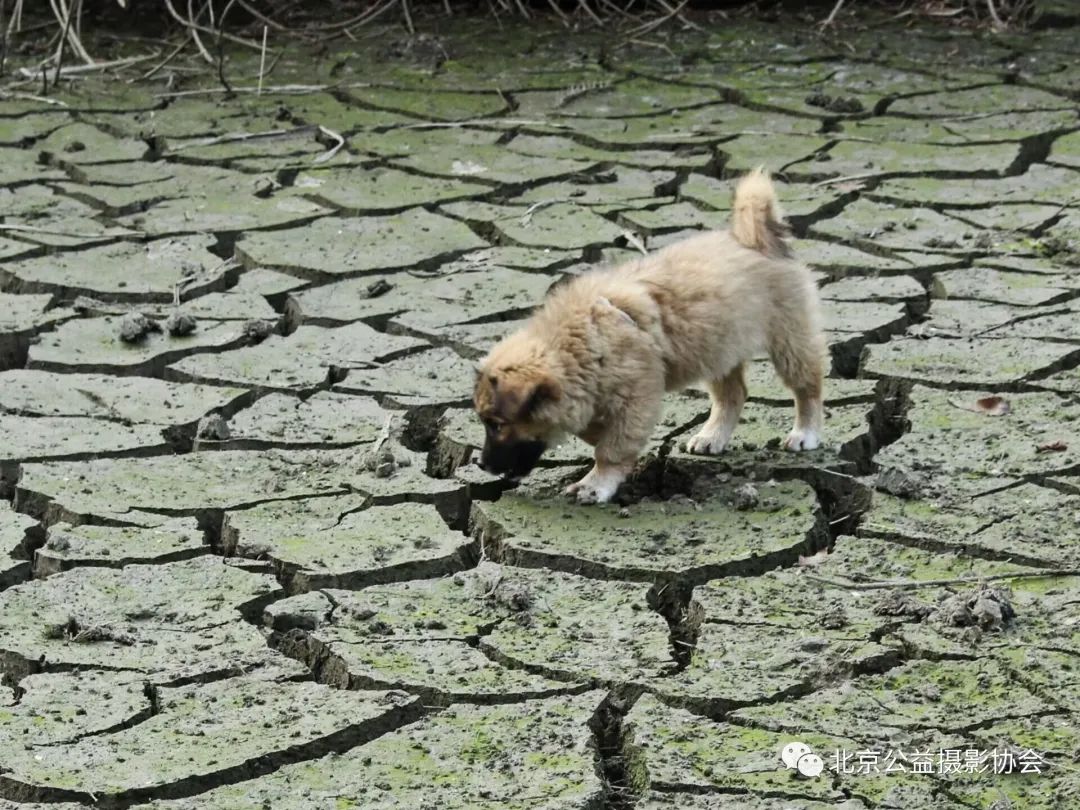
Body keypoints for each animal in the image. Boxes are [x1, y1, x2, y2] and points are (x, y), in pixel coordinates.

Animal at [473, 168, 825, 505]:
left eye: (497, 425)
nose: (482, 465)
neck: (581, 340)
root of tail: (756, 239)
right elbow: (596, 431)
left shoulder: (636, 394)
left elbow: (611, 446)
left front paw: (596, 483)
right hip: (718, 347)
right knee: (733, 394)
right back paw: (712, 435)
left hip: (788, 338)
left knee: (807, 386)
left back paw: (805, 432)